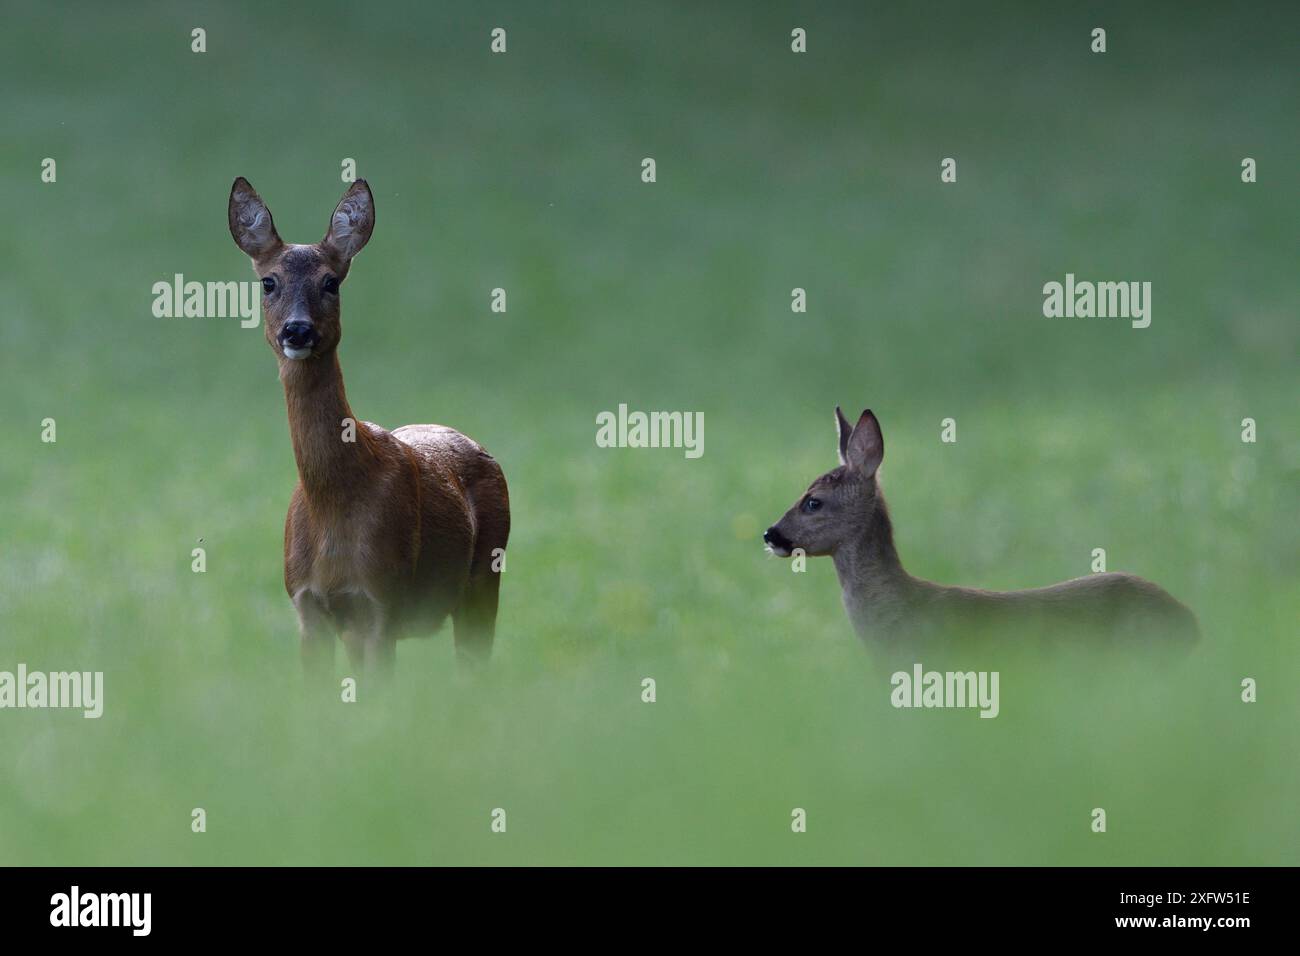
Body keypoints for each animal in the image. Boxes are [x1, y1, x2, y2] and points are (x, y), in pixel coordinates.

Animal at [228, 177, 510, 678]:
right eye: (268, 281)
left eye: (331, 282)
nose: (297, 331)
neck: (334, 503)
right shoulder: (307, 605)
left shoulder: (383, 600)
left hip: (484, 578)